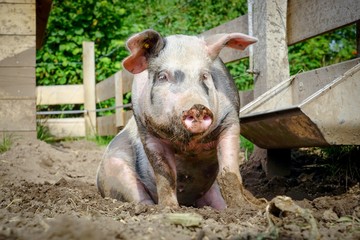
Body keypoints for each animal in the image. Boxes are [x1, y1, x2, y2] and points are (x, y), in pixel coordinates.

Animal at [97, 29, 258, 210]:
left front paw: (242, 208)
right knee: (139, 196)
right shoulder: (147, 131)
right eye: (162, 76)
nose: (197, 107)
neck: (190, 145)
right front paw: (169, 208)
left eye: (205, 75)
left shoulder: (230, 121)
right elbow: (164, 174)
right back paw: (149, 208)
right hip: (116, 170)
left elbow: (230, 172)